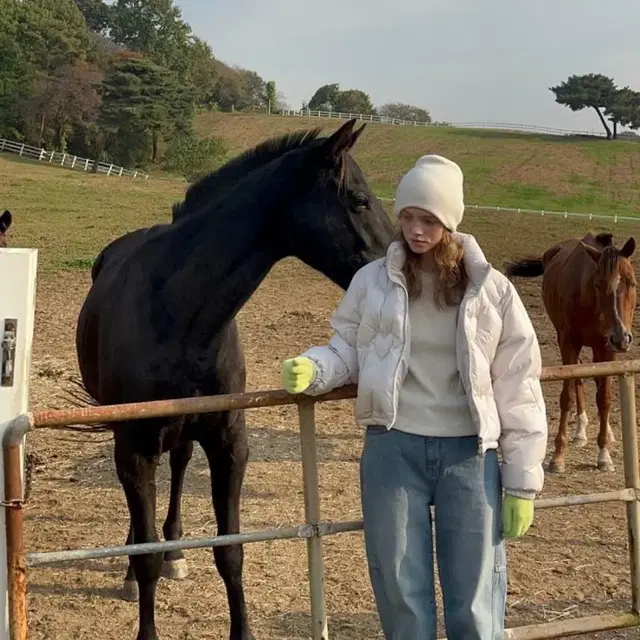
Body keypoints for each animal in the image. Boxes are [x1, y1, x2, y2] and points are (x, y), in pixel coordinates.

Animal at [75, 121, 396, 640]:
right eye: (360, 200)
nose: (395, 262)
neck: (178, 311)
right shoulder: (136, 448)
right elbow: (145, 556)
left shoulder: (229, 443)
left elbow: (231, 549)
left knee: (179, 468)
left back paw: (176, 552)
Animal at [504, 232, 636, 472]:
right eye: (598, 284)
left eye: (631, 282)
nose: (622, 337)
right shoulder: (568, 344)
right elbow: (567, 396)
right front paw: (558, 456)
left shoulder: (607, 349)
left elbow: (604, 397)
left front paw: (604, 454)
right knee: (578, 380)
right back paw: (580, 430)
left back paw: (606, 433)